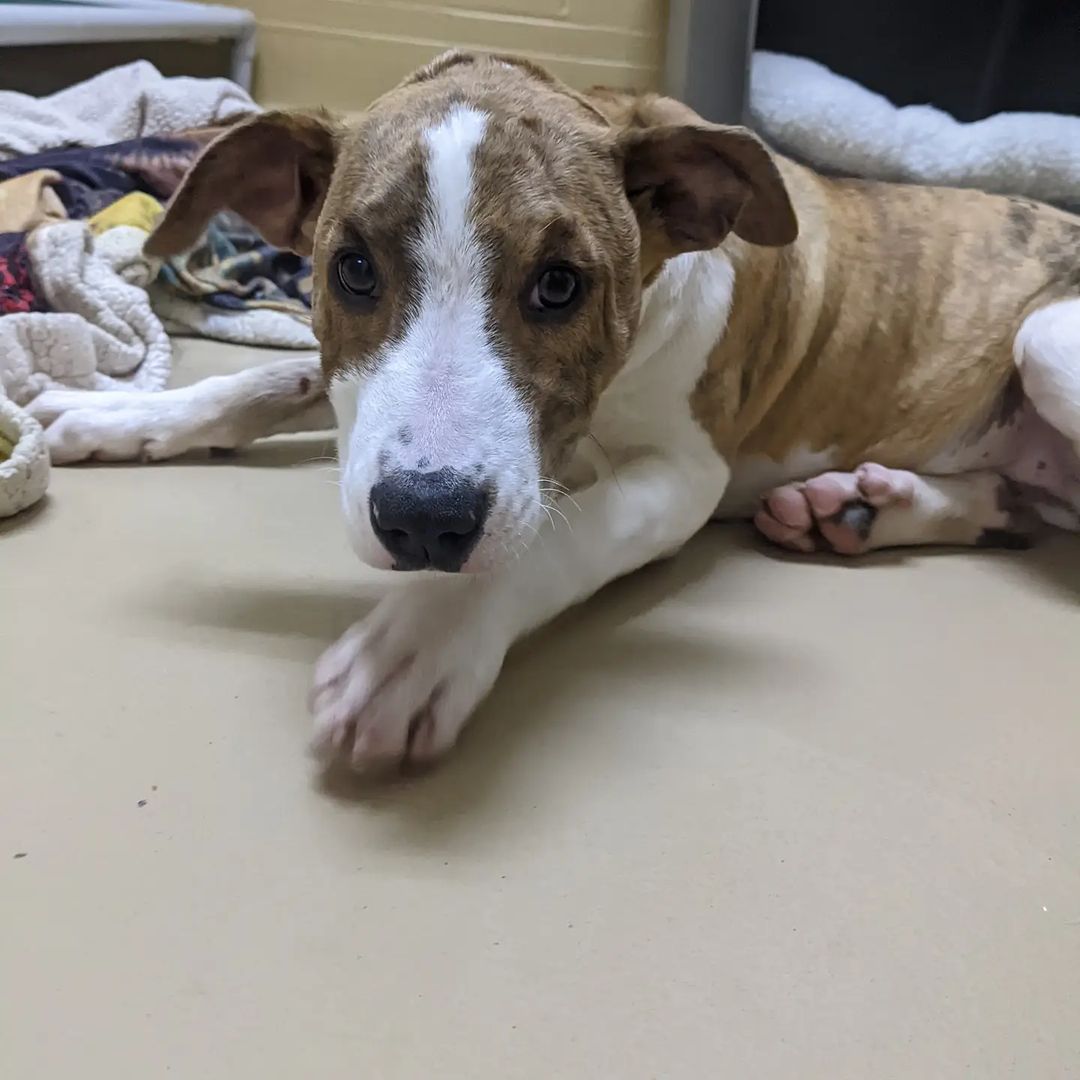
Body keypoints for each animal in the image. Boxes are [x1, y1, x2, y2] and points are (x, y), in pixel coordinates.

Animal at [23, 52, 1080, 768]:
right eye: (350, 269)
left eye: (562, 285)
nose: (424, 520)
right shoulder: (353, 382)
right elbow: (266, 383)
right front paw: (110, 416)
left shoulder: (683, 475)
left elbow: (558, 535)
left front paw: (425, 638)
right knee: (1020, 508)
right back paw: (860, 507)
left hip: (1047, 341)